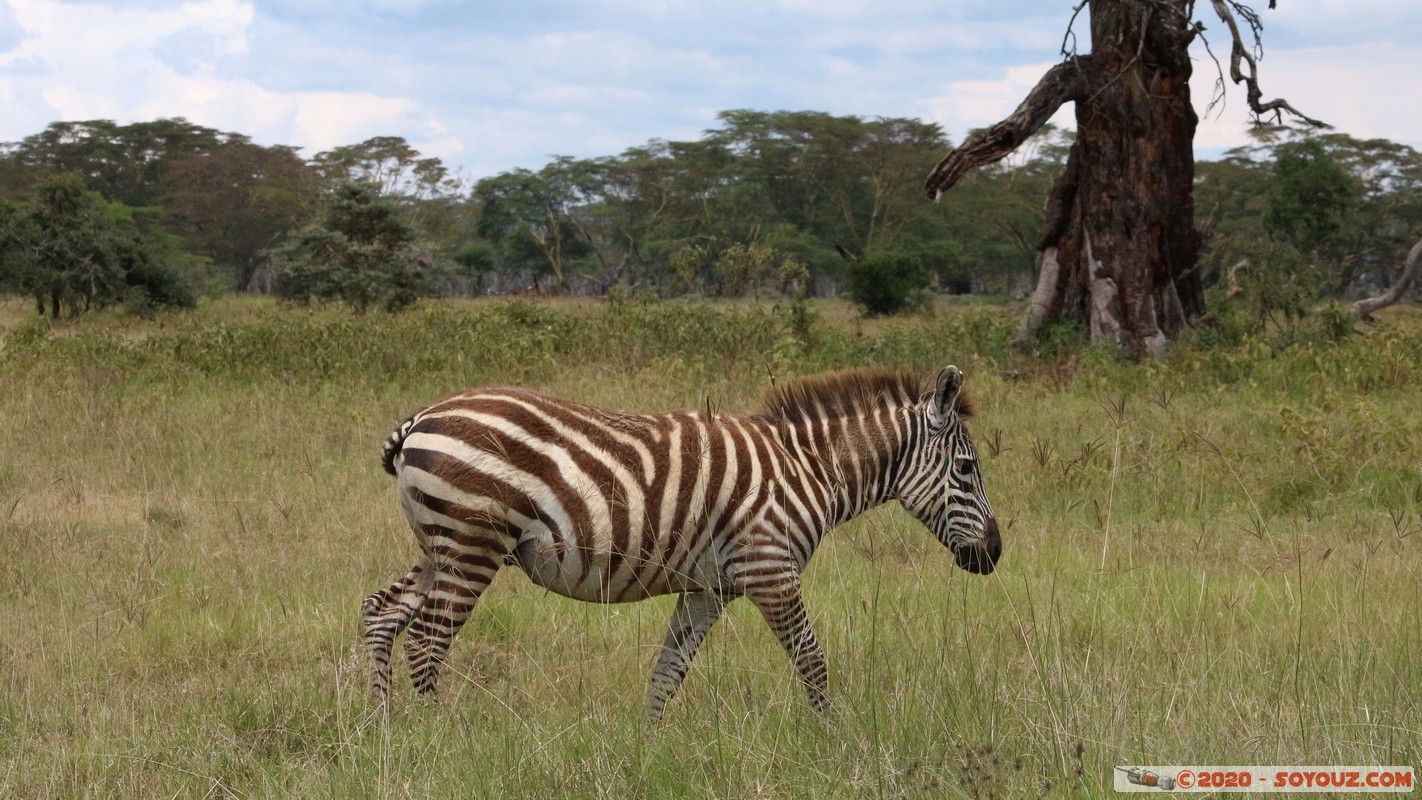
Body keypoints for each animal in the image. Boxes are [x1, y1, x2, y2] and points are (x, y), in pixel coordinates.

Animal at [361, 366, 1001, 721]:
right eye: (967, 470)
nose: (994, 556)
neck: (807, 469)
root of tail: (421, 417)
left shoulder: (710, 589)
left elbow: (668, 669)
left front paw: (649, 745)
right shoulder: (770, 570)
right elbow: (813, 662)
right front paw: (834, 740)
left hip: (440, 546)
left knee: (380, 612)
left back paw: (384, 726)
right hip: (472, 544)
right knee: (425, 641)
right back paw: (441, 735)